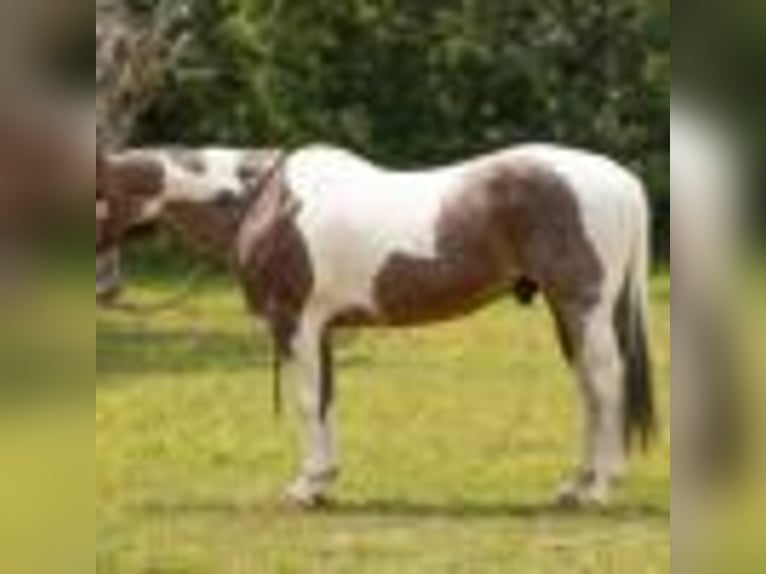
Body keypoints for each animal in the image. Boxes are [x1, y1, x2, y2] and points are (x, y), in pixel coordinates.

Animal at [97, 143, 656, 507]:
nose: (107, 289)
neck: (264, 202)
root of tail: (622, 181)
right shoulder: (321, 329)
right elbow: (325, 399)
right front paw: (324, 483)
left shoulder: (295, 322)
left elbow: (306, 402)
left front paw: (304, 487)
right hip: (567, 312)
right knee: (588, 389)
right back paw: (576, 484)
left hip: (584, 306)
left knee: (606, 382)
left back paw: (602, 487)